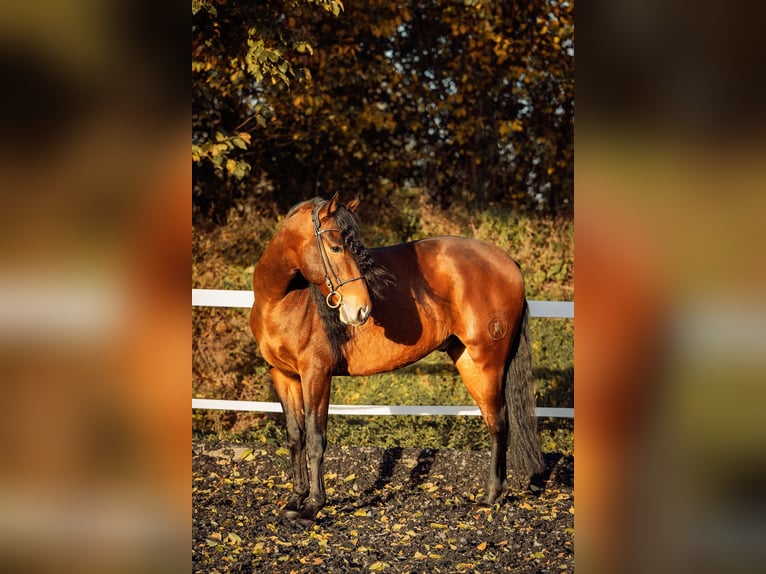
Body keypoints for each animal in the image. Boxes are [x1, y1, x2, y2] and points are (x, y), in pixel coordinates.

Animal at [249, 193, 543, 523]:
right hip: (468, 360)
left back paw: (490, 496)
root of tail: (508, 262)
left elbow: (315, 438)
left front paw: (313, 506)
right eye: (336, 247)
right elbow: (295, 436)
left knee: (499, 423)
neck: (281, 300)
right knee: (495, 421)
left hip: (486, 363)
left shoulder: (316, 374)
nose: (361, 309)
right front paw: (295, 500)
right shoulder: (283, 375)